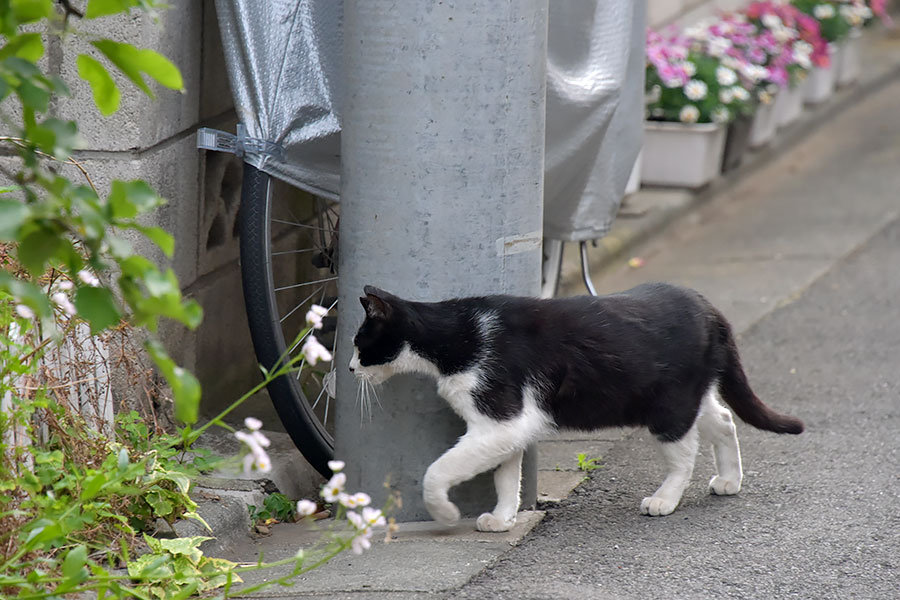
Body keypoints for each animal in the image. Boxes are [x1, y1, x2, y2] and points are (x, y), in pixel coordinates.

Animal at [348, 284, 804, 532]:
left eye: (358, 342)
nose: (350, 369)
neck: (456, 336)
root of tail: (707, 307)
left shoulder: (498, 420)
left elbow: (437, 471)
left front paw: (444, 512)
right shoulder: (507, 425)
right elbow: (505, 476)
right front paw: (503, 518)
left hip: (668, 406)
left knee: (683, 454)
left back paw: (664, 499)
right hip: (688, 393)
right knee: (724, 420)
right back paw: (729, 480)